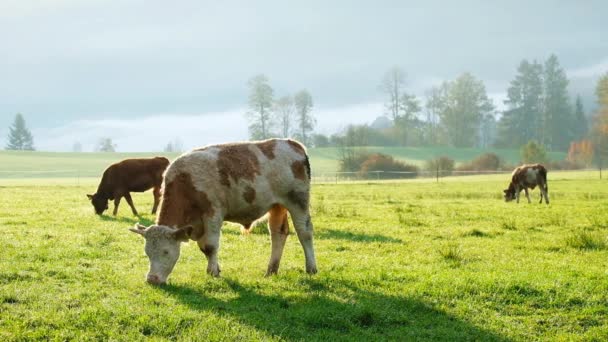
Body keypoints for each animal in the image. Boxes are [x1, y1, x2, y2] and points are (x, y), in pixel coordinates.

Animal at [128, 139, 318, 286]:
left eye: (166, 252)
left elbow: (210, 246)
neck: (186, 182)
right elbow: (204, 248)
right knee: (278, 234)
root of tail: (293, 144)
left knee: (304, 233)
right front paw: (215, 268)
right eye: (147, 252)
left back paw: (311, 268)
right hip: (277, 206)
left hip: (298, 201)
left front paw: (213, 272)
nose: (152, 279)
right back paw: (271, 270)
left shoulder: (213, 213)